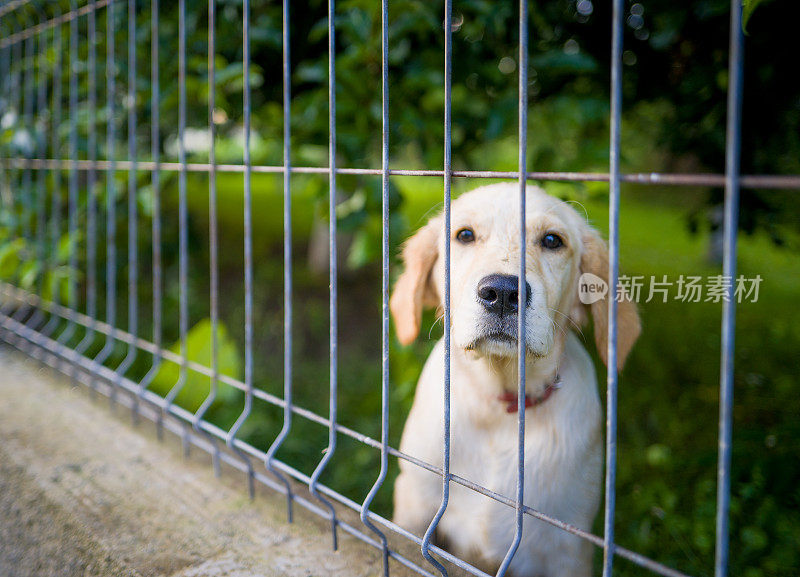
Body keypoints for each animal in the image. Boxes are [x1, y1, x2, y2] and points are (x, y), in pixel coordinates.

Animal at [390, 183, 640, 576]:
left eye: (552, 240)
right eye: (464, 235)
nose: (504, 293)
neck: (499, 410)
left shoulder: (568, 546)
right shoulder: (414, 502)